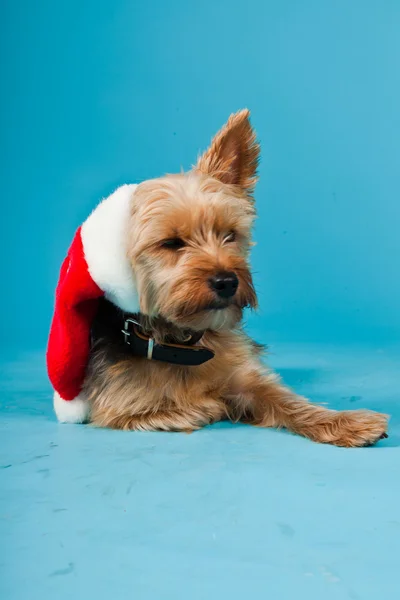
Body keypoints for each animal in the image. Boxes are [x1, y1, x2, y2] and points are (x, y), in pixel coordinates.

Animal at [82, 110, 388, 446]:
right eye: (172, 243)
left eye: (230, 235)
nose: (228, 282)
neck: (183, 343)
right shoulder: (117, 408)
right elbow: (181, 408)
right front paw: (209, 404)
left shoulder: (245, 375)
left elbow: (282, 397)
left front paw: (348, 421)